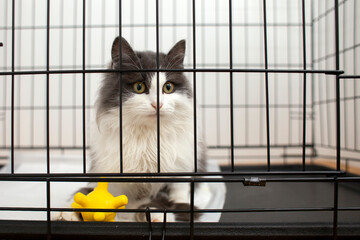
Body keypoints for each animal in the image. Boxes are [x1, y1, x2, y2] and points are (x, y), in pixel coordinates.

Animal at [56, 36, 208, 222]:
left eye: (168, 87)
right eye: (139, 87)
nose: (157, 104)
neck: (148, 137)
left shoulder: (180, 168)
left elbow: (174, 196)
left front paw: (156, 215)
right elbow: (86, 193)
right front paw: (66, 212)